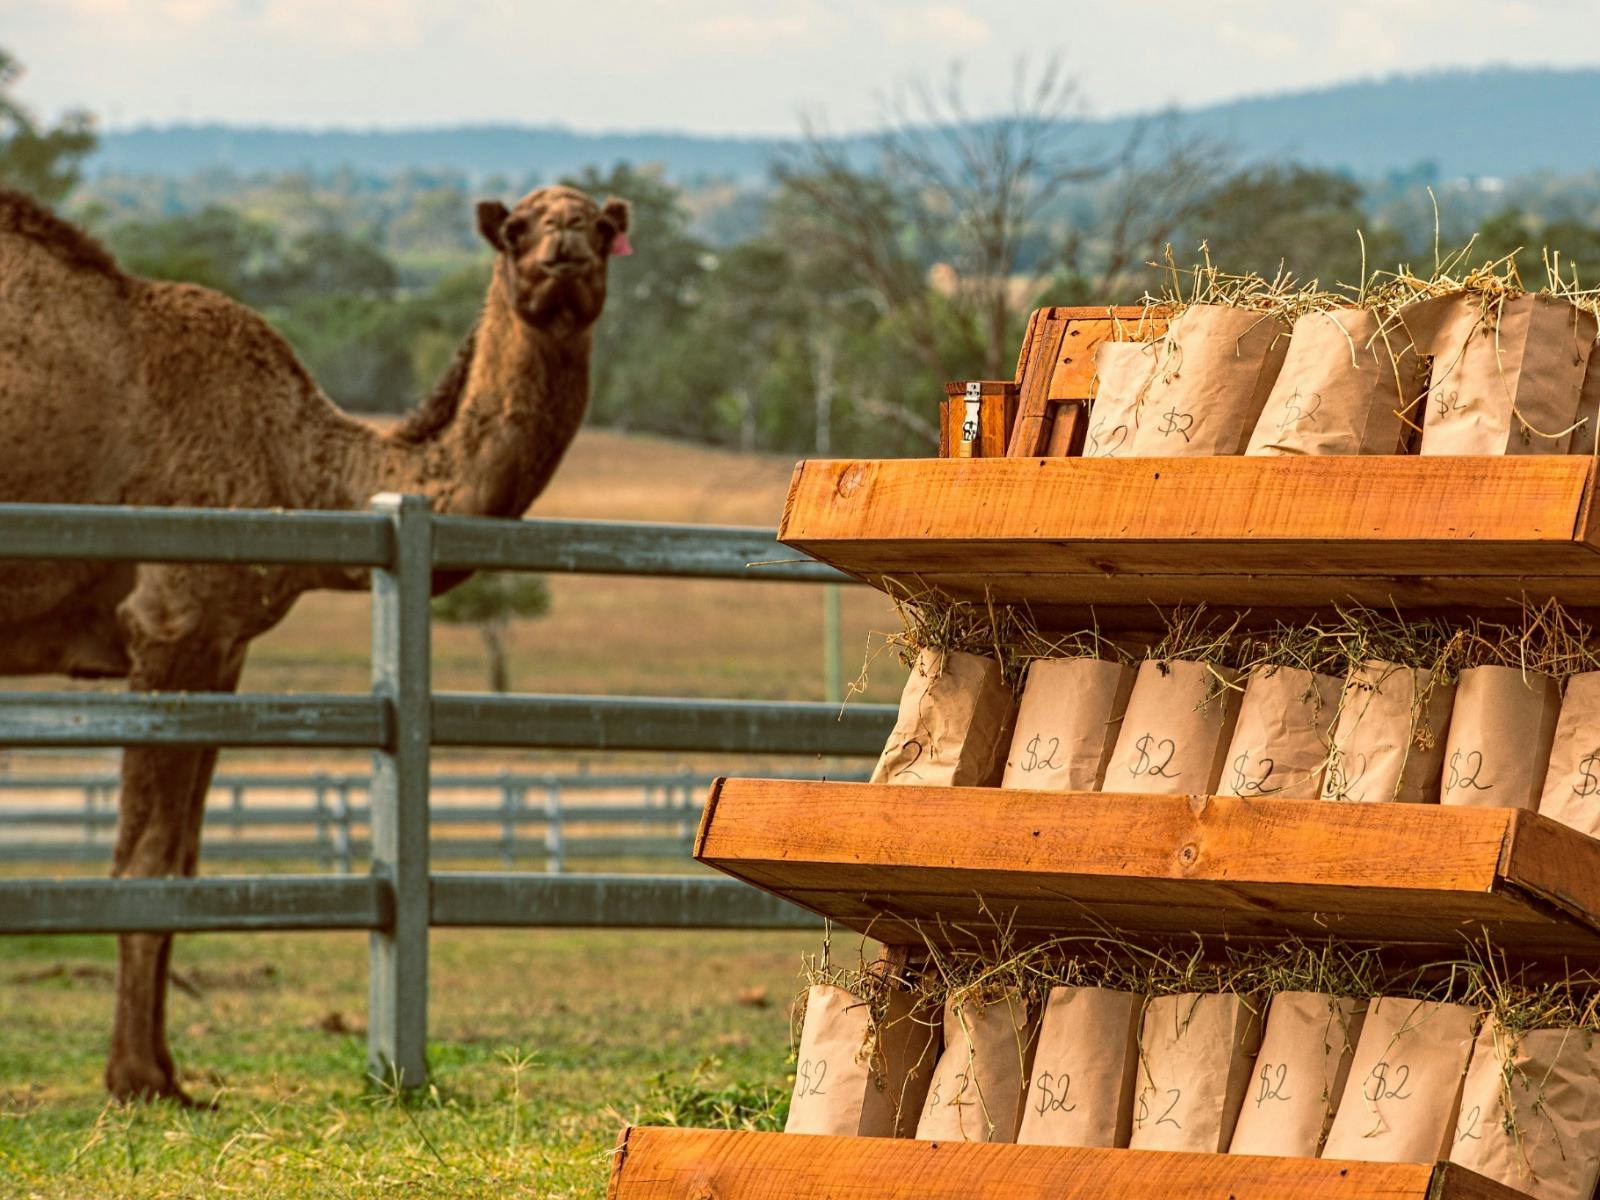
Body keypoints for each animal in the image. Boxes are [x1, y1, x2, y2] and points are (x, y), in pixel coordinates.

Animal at [0, 182, 630, 1101]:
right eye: (517, 229)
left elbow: (184, 862)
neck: (301, 464)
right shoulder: (172, 623)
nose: (563, 256)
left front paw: (170, 1074)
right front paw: (136, 1080)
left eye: (600, 227)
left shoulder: (224, 647)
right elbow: (144, 861)